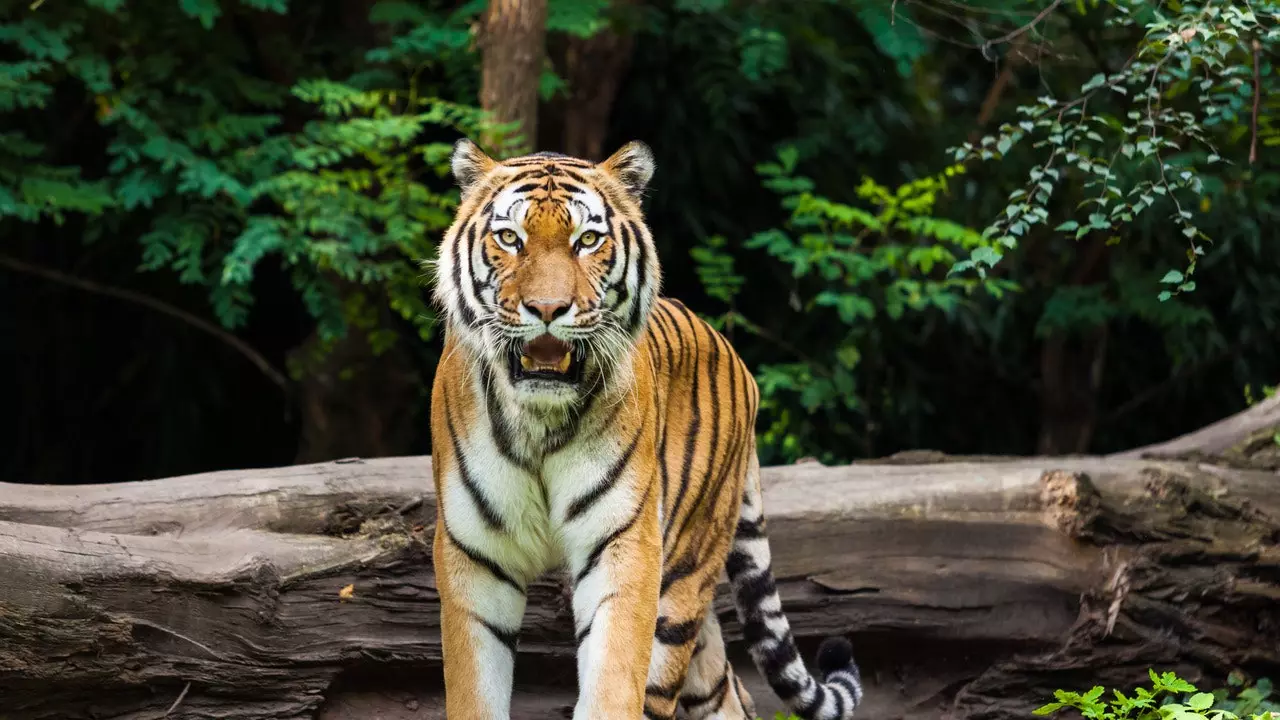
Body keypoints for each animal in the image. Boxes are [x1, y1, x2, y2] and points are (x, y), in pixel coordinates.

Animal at [432, 135, 870, 717]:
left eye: (587, 240)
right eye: (509, 237)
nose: (547, 308)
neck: (540, 422)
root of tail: (734, 354)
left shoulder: (625, 548)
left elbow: (613, 681)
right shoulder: (475, 557)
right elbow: (473, 689)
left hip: (682, 574)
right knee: (728, 692)